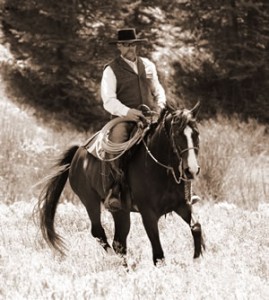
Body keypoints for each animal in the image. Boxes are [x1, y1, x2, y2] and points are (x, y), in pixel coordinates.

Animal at [38, 103, 203, 264]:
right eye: (177, 135)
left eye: (196, 134)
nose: (192, 170)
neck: (161, 170)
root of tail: (78, 153)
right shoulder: (148, 214)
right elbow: (158, 255)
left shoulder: (182, 205)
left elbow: (196, 227)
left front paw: (197, 261)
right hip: (90, 201)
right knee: (99, 233)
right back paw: (114, 260)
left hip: (120, 211)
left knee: (119, 243)